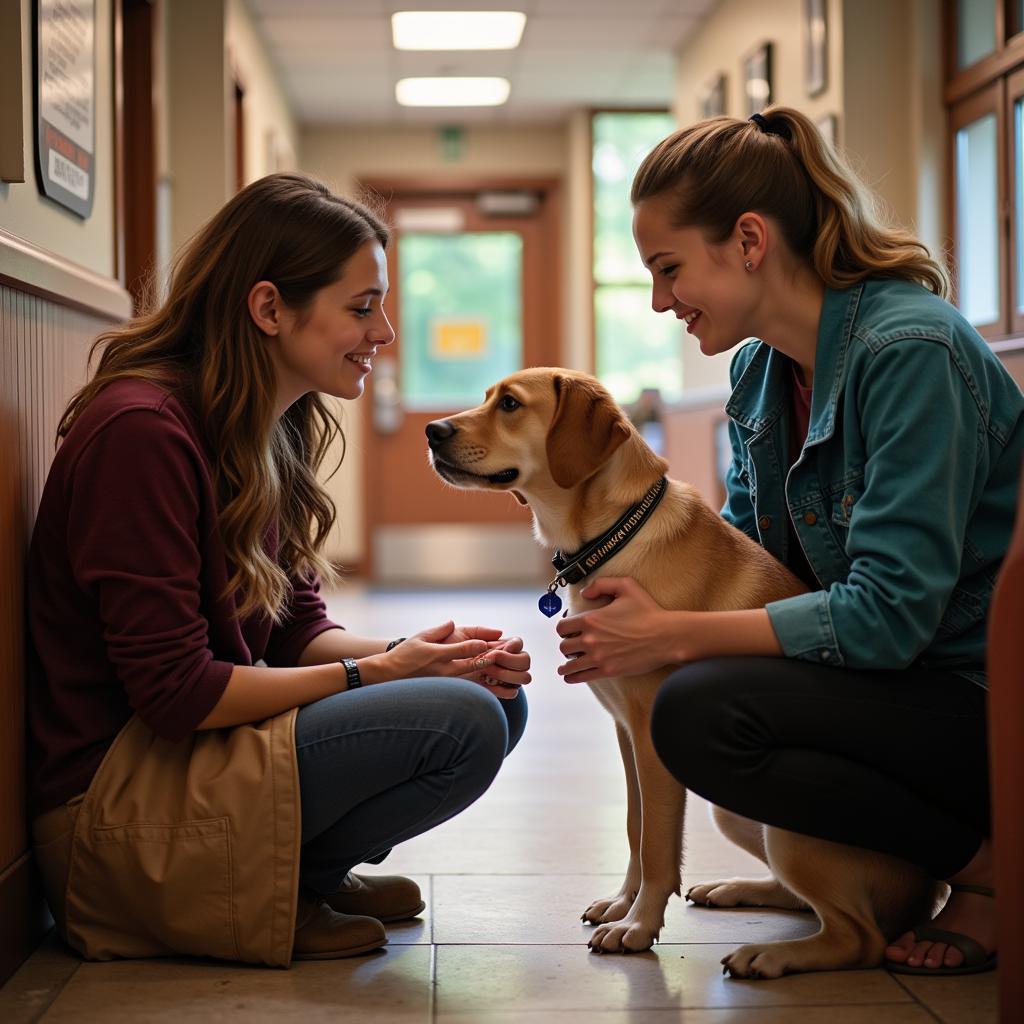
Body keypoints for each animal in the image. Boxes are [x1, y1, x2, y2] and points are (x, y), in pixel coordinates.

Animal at [425, 368, 942, 974]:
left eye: (509, 404)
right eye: (489, 397)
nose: (433, 431)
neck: (611, 537)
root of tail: (931, 884)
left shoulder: (652, 735)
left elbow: (657, 844)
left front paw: (639, 926)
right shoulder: (625, 734)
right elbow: (635, 827)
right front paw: (622, 904)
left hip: (793, 838)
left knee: (858, 938)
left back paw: (769, 956)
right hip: (735, 814)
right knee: (803, 902)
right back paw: (735, 890)